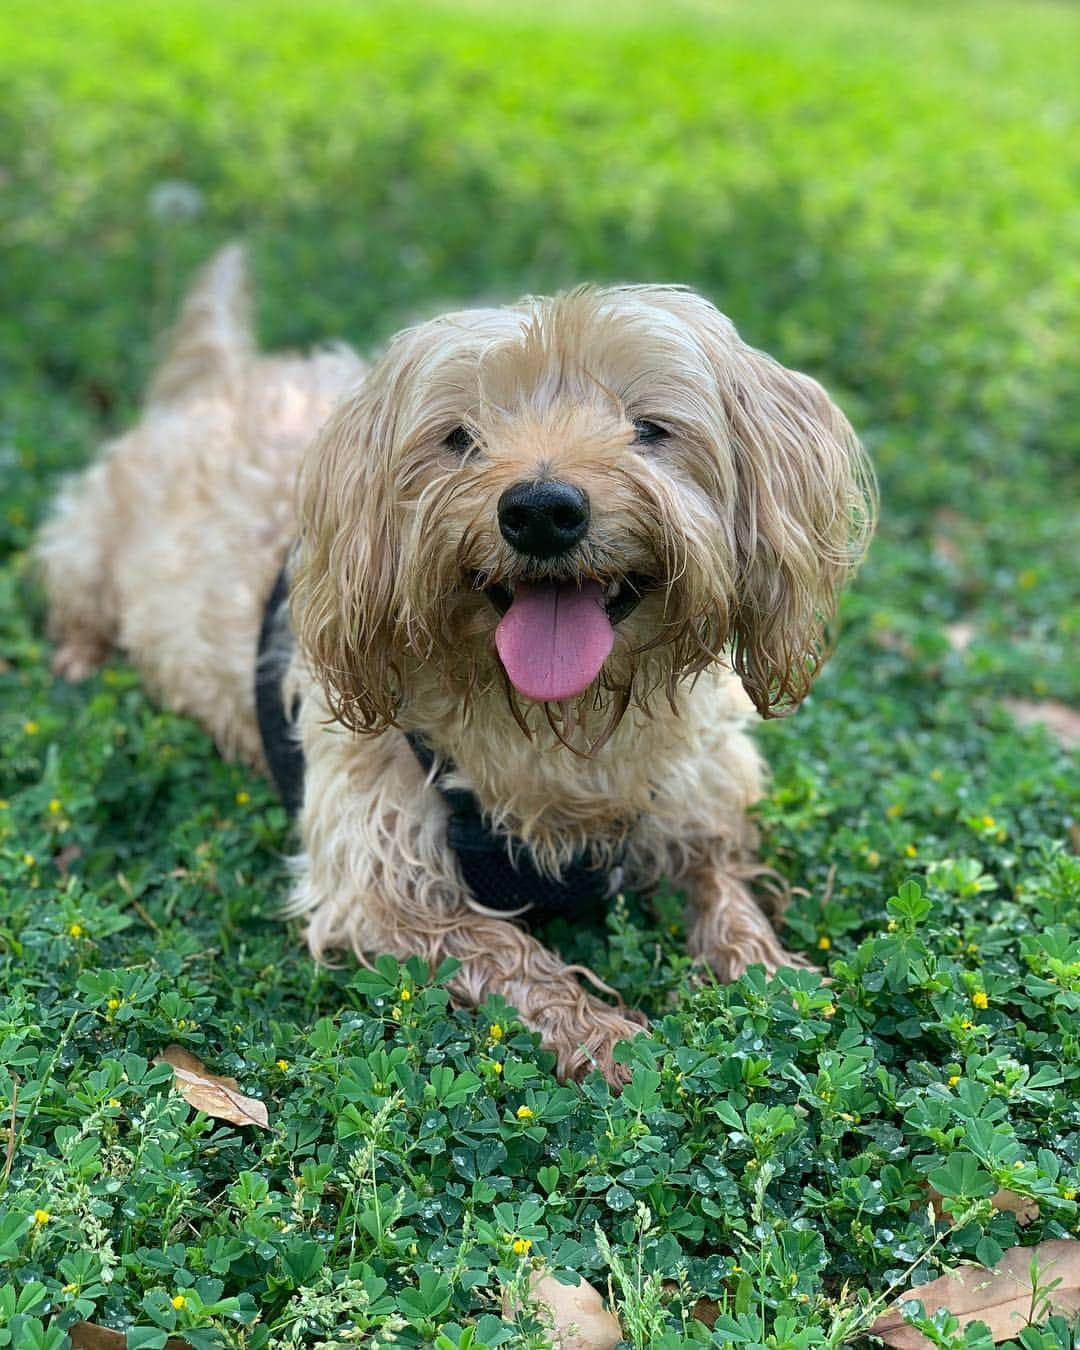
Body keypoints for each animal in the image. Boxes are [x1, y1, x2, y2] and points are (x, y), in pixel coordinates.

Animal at [37, 248, 874, 1080]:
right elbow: (512, 953)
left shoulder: (697, 807)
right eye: (461, 436)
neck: (559, 722)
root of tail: (223, 379)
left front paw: (774, 977)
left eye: (648, 428)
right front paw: (609, 1038)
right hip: (80, 545)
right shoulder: (383, 885)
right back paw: (78, 656)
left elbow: (726, 893)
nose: (541, 511)